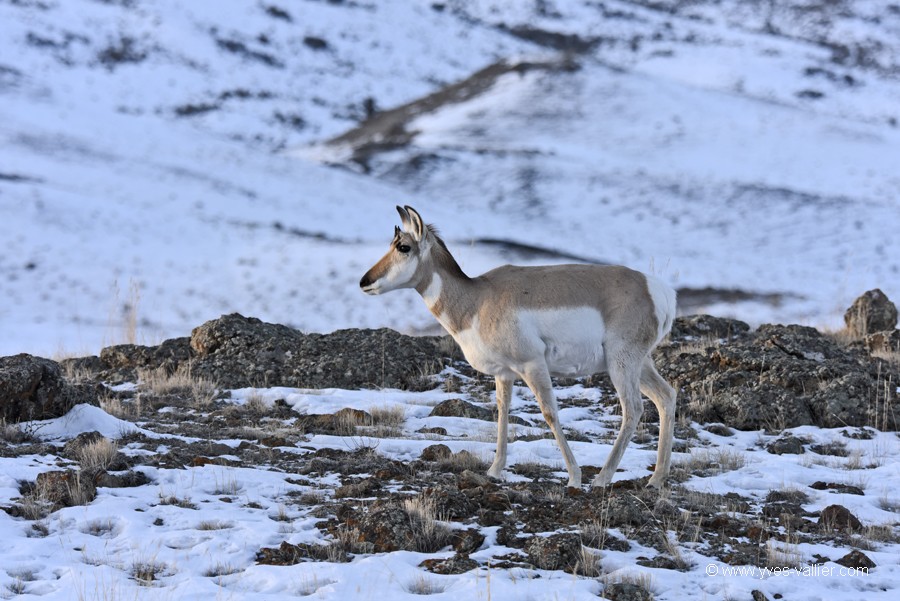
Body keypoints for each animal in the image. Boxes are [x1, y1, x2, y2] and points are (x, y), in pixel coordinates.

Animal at [358, 206, 676, 488]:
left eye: (403, 247)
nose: (365, 281)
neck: (477, 299)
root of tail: (656, 288)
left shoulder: (531, 364)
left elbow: (549, 413)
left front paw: (574, 477)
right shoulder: (504, 373)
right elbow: (502, 411)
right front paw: (494, 470)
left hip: (621, 363)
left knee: (633, 409)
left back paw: (601, 478)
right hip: (638, 364)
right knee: (666, 397)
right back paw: (655, 479)